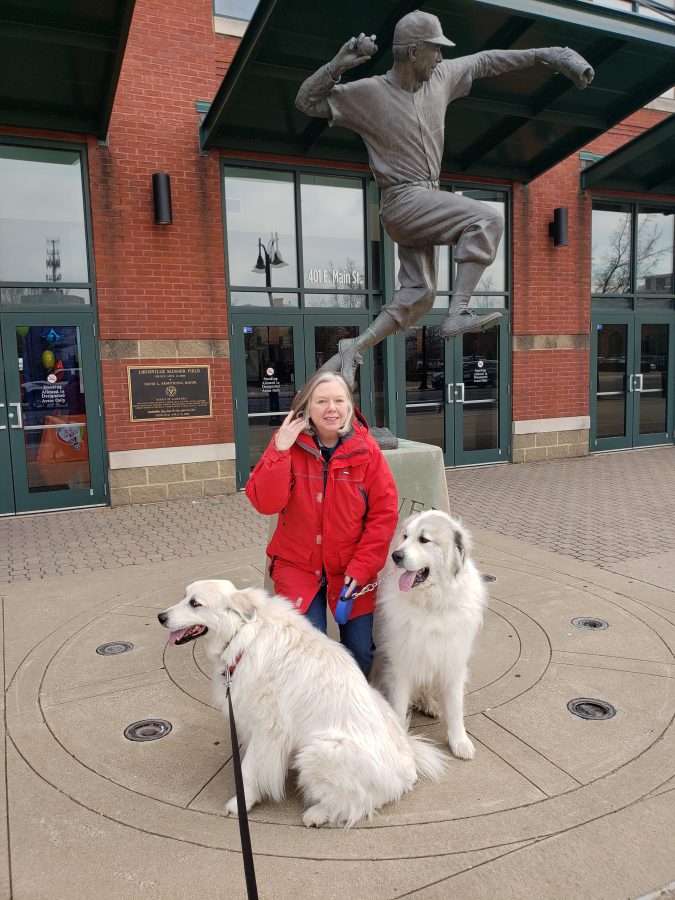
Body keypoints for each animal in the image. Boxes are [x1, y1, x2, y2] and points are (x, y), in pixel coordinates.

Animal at [156, 580, 446, 828]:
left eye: (195, 603)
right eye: (184, 596)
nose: (160, 617)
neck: (244, 635)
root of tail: (408, 770)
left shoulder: (268, 729)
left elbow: (248, 770)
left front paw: (241, 803)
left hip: (318, 751)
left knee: (359, 803)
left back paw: (317, 814)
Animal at [374, 512, 486, 760]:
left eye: (424, 540)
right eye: (405, 537)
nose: (396, 556)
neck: (432, 605)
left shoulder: (452, 660)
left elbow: (455, 707)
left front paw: (459, 741)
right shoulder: (402, 663)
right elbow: (399, 704)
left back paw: (429, 704)